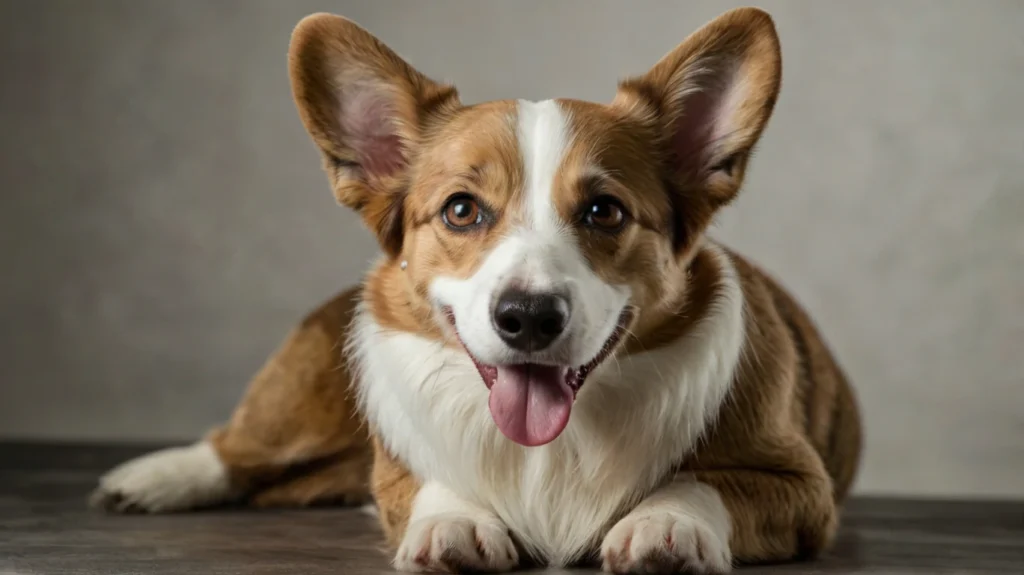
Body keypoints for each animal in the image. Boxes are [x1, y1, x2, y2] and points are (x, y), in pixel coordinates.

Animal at [92, 7, 864, 568]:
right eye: (462, 210)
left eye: (604, 211)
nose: (527, 317)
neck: (555, 445)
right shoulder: (398, 469)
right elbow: (434, 477)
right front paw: (456, 523)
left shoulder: (803, 487)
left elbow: (701, 480)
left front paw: (666, 525)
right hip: (305, 385)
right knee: (237, 446)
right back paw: (152, 478)